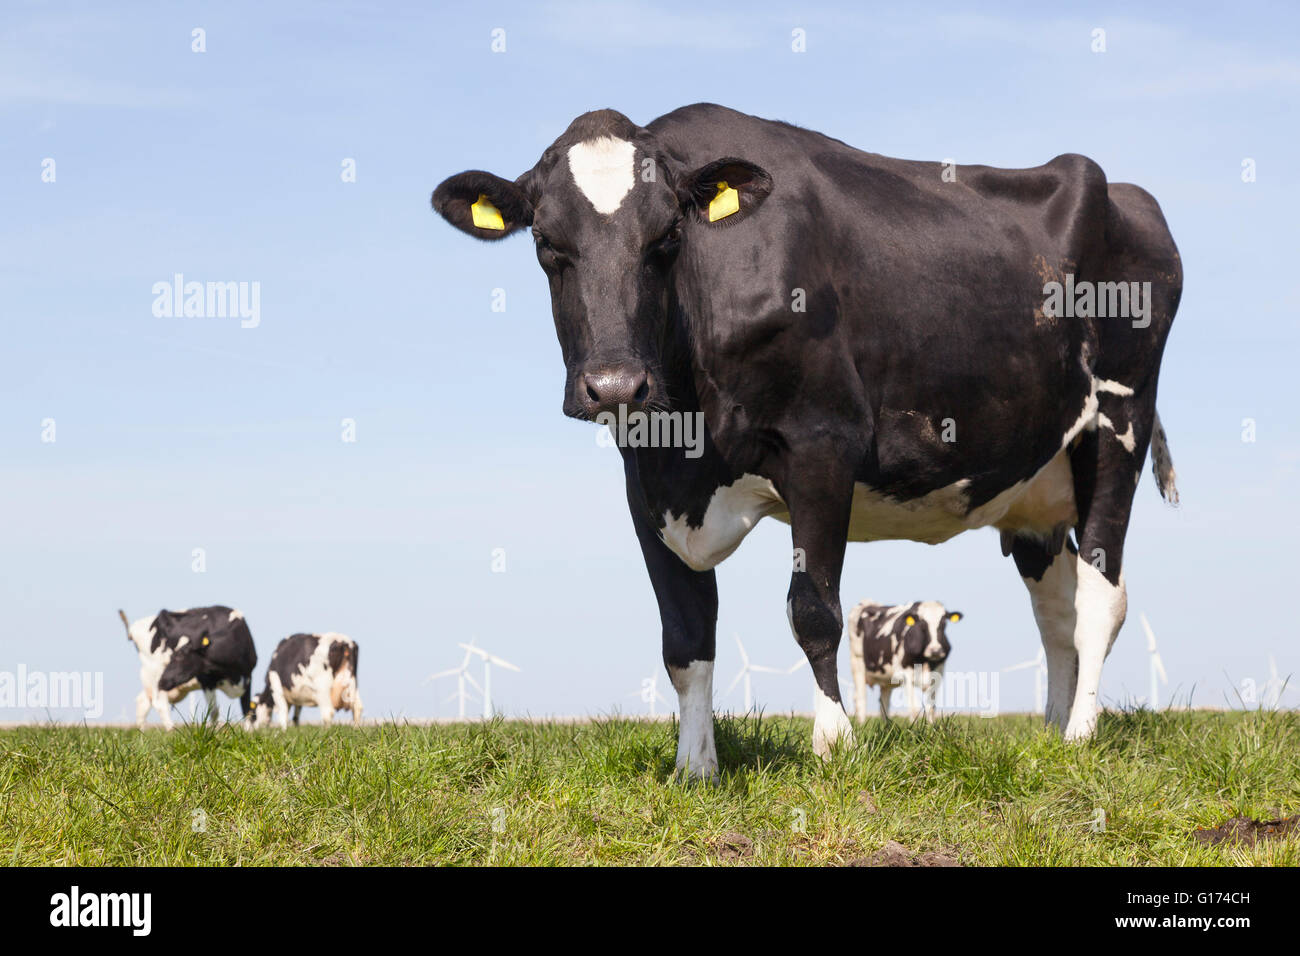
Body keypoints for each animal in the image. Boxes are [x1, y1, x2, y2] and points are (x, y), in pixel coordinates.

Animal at [118, 606, 257, 729]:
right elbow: (214, 711)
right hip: (152, 670)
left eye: (179, 656)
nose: (162, 681)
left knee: (143, 702)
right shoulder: (206, 679)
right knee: (159, 703)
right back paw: (171, 731)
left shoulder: (248, 676)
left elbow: (247, 710)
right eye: (172, 656)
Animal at [430, 103, 1181, 781]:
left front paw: (834, 743)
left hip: (1117, 421)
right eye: (546, 243)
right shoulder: (645, 482)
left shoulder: (823, 445)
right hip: (1036, 487)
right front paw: (694, 767)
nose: (615, 383)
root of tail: (1125, 191)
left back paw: (1082, 734)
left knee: (1101, 596)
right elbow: (685, 636)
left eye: (668, 235)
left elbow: (814, 609)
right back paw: (1051, 731)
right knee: (1055, 608)